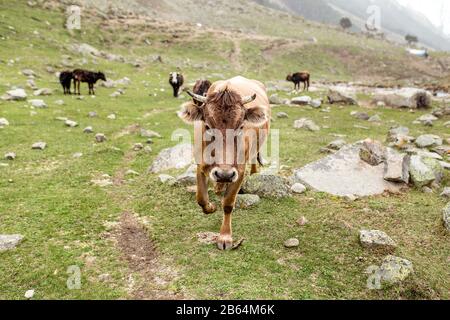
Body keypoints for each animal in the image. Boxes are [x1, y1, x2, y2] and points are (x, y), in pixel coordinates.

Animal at [178, 77, 270, 250]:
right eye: (207, 126)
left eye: (241, 127)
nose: (224, 174)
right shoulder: (200, 165)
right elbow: (201, 198)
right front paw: (211, 207)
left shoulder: (239, 171)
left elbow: (228, 204)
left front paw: (225, 237)